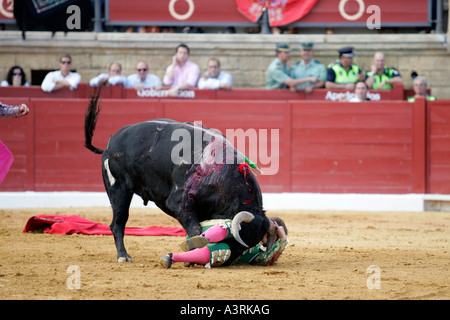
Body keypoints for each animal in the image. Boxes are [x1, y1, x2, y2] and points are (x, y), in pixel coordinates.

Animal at [84, 88, 274, 262]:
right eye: (239, 237)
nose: (229, 260)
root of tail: (109, 144)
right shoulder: (179, 202)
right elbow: (196, 230)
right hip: (118, 188)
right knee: (118, 222)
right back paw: (123, 256)